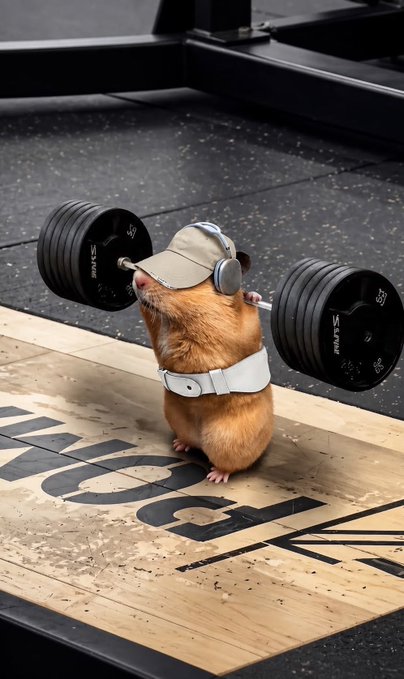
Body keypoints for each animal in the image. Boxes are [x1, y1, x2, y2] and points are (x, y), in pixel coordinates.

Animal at [133, 253, 273, 483]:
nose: (137, 279)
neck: (179, 320)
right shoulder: (157, 325)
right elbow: (150, 318)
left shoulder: (241, 331)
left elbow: (249, 316)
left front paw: (252, 296)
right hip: (176, 419)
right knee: (190, 442)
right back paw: (180, 445)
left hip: (227, 441)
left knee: (234, 465)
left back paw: (216, 476)